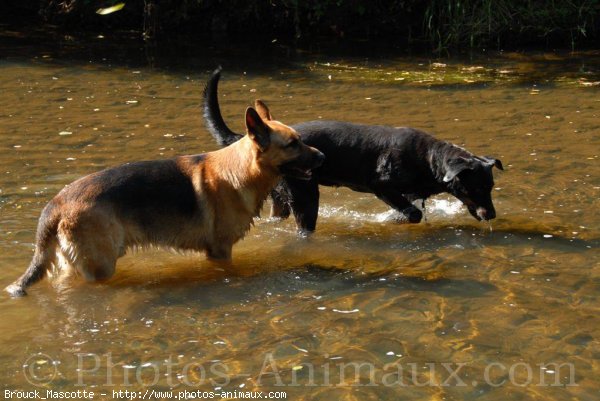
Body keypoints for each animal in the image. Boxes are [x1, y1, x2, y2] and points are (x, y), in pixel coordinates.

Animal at [5, 103, 324, 296]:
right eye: (293, 144)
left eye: (300, 140)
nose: (322, 155)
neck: (241, 169)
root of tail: (57, 202)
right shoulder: (221, 251)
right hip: (101, 266)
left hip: (74, 263)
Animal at [202, 67, 502, 231]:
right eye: (476, 187)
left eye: (490, 187)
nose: (493, 215)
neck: (429, 162)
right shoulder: (381, 185)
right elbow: (412, 213)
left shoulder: (409, 193)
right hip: (305, 195)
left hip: (281, 198)